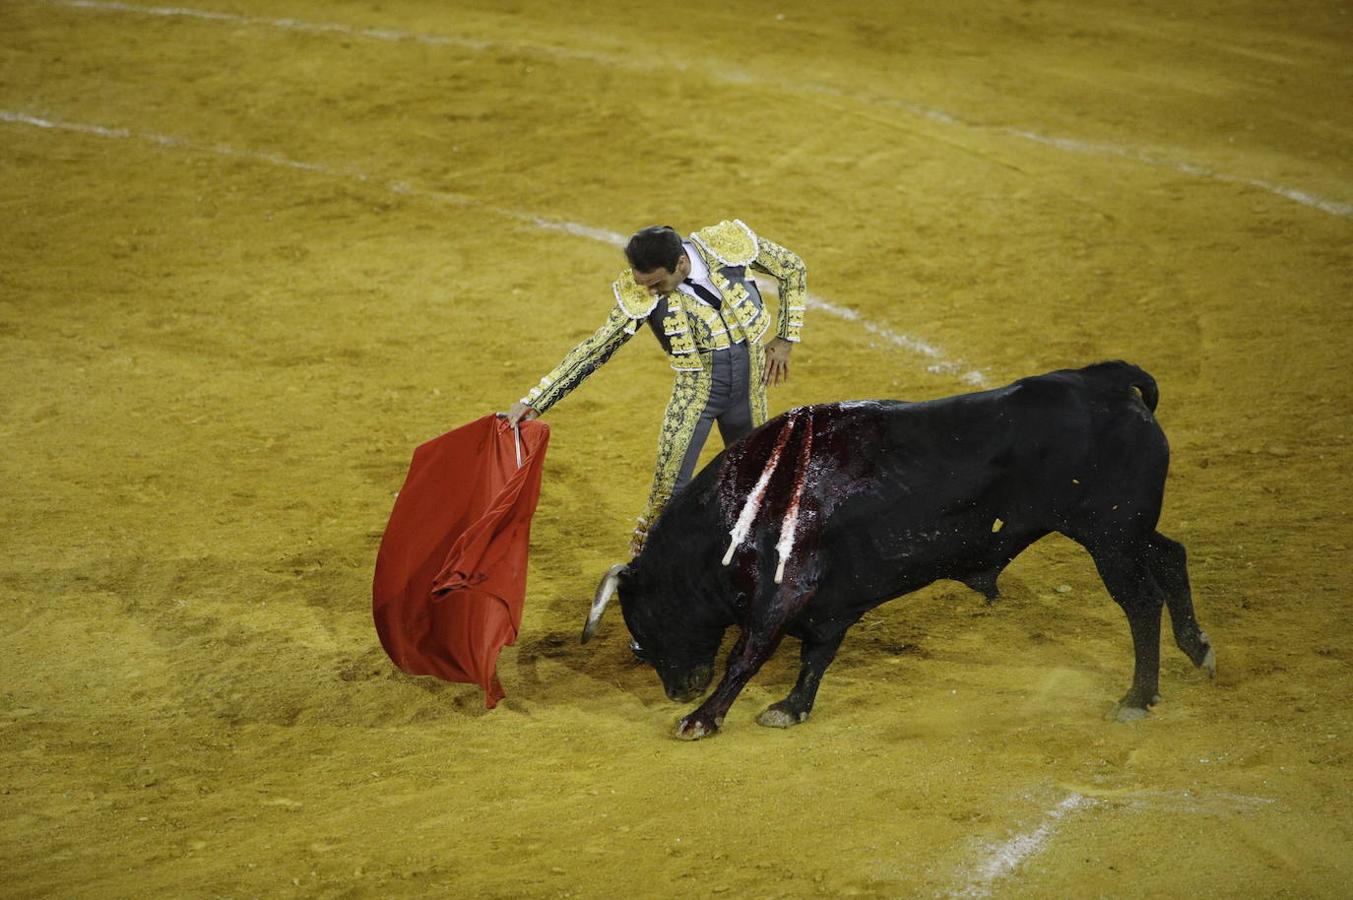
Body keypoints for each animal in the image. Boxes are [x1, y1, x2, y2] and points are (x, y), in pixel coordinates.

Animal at [581, 357, 1217, 736]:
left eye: (641, 631)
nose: (676, 690)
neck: (746, 505)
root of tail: (1101, 380)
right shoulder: (828, 604)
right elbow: (817, 654)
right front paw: (790, 707)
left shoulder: (782, 595)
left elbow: (748, 654)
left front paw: (702, 718)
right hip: (1127, 531)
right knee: (1171, 555)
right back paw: (1198, 650)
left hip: (1109, 538)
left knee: (1140, 602)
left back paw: (1137, 696)